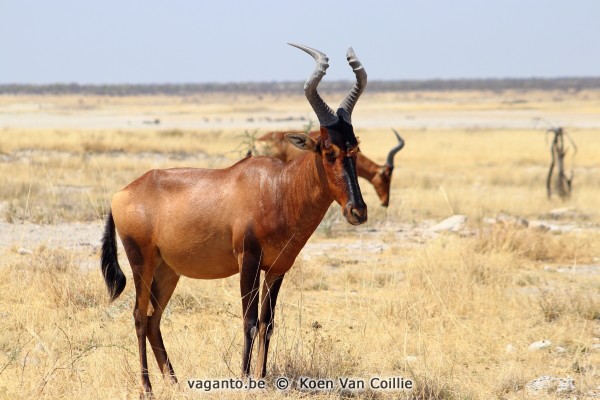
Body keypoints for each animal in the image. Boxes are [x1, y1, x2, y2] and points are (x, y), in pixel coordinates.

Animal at [101, 43, 368, 396]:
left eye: (354, 149)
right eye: (328, 151)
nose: (357, 211)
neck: (276, 186)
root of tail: (122, 193)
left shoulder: (277, 268)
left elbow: (268, 323)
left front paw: (262, 377)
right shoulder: (248, 260)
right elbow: (249, 320)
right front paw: (244, 379)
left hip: (167, 269)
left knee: (154, 317)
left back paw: (174, 381)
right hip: (140, 261)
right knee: (138, 315)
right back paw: (147, 388)